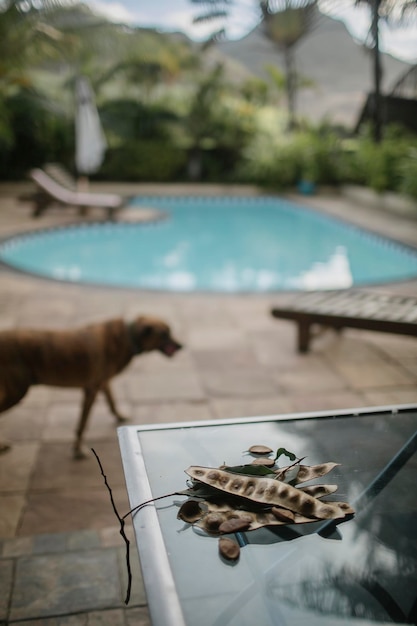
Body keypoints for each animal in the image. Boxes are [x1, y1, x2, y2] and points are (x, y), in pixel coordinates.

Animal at [0, 314, 182, 456]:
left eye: (169, 332)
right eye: (164, 334)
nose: (182, 346)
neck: (128, 337)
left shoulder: (103, 383)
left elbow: (111, 401)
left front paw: (119, 415)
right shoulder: (91, 390)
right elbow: (82, 423)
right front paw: (78, 449)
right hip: (17, 392)